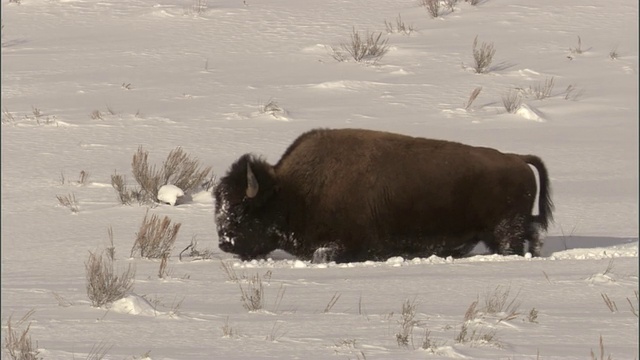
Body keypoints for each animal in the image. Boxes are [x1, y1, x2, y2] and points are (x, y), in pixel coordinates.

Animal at [214, 128, 552, 262]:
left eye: (242, 209)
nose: (225, 242)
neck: (291, 192)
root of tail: (517, 159)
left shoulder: (339, 244)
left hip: (504, 230)